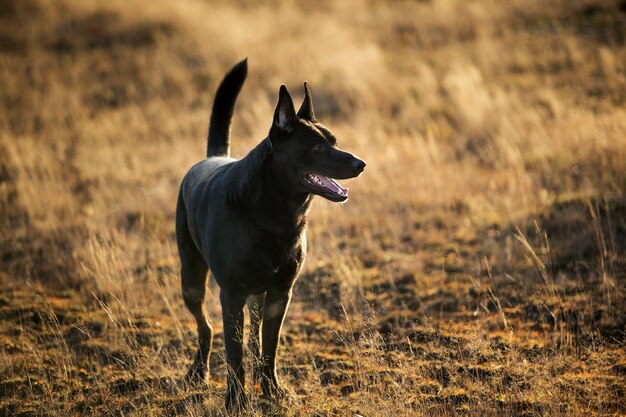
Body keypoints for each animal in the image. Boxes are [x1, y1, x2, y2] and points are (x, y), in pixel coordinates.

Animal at [174, 58, 366, 410]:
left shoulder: (280, 294)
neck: (274, 212)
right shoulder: (231, 296)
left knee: (253, 336)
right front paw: (236, 400)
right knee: (206, 326)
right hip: (192, 280)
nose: (361, 164)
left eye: (334, 140)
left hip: (256, 298)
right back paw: (197, 372)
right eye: (317, 146)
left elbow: (269, 349)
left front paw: (272, 391)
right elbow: (234, 354)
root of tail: (212, 157)